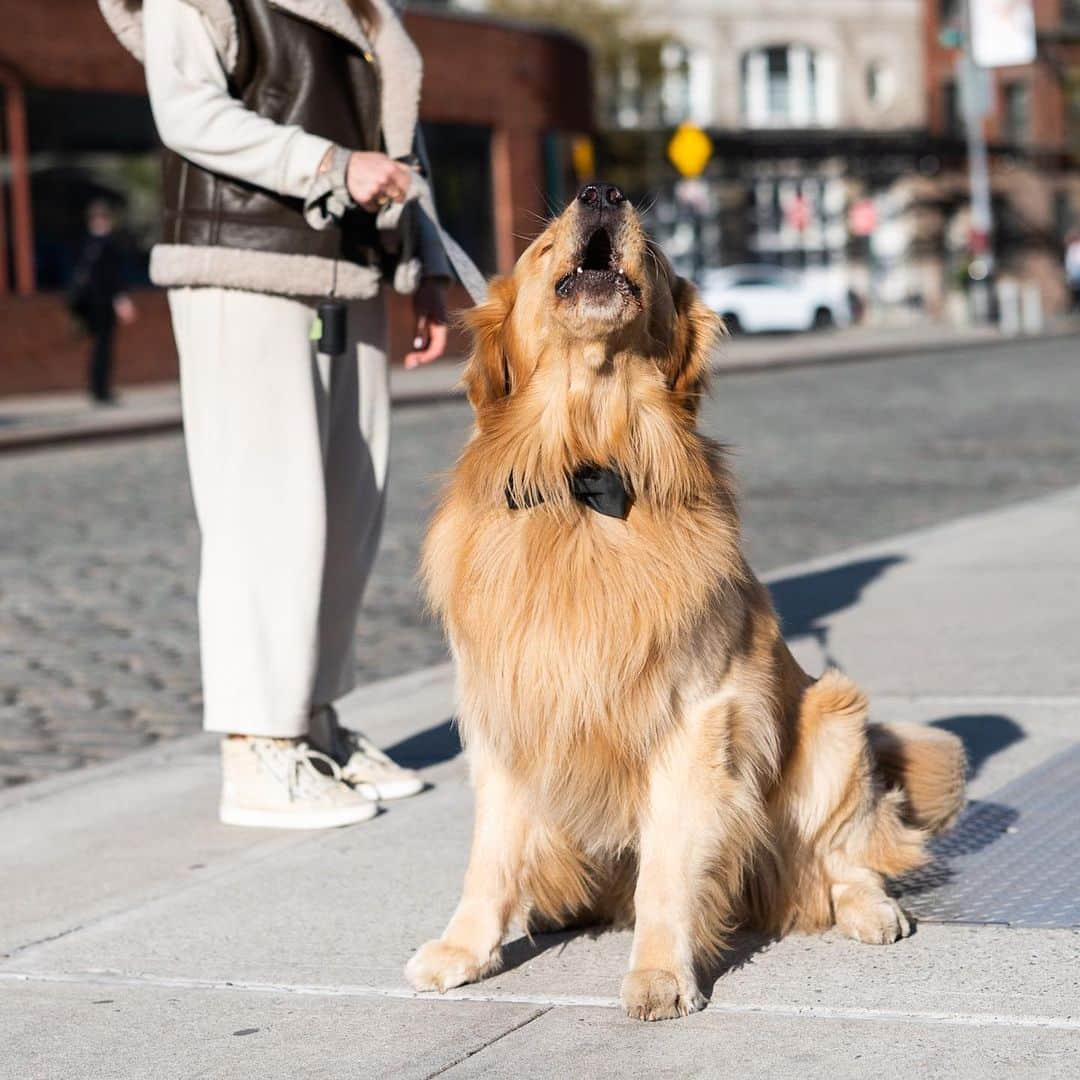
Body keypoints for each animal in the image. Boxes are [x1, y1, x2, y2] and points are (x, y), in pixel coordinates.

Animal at [406, 181, 972, 1015]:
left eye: (657, 250)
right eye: (541, 250)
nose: (601, 192)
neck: (586, 471)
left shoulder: (696, 721)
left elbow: (669, 872)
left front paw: (660, 973)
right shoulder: (509, 713)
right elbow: (491, 859)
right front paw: (464, 948)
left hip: (832, 723)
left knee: (839, 857)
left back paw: (869, 908)